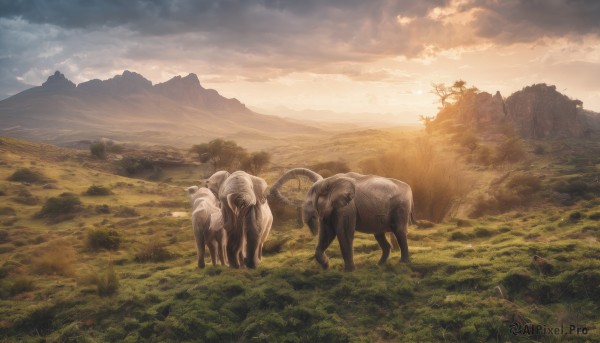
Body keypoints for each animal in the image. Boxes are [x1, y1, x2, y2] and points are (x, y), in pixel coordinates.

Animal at [270, 169, 414, 272]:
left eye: (311, 201)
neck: (329, 181)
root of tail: (409, 189)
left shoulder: (346, 208)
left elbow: (343, 233)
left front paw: (349, 271)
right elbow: (327, 234)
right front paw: (326, 266)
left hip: (401, 207)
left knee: (400, 231)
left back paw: (404, 263)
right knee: (379, 235)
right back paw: (379, 265)